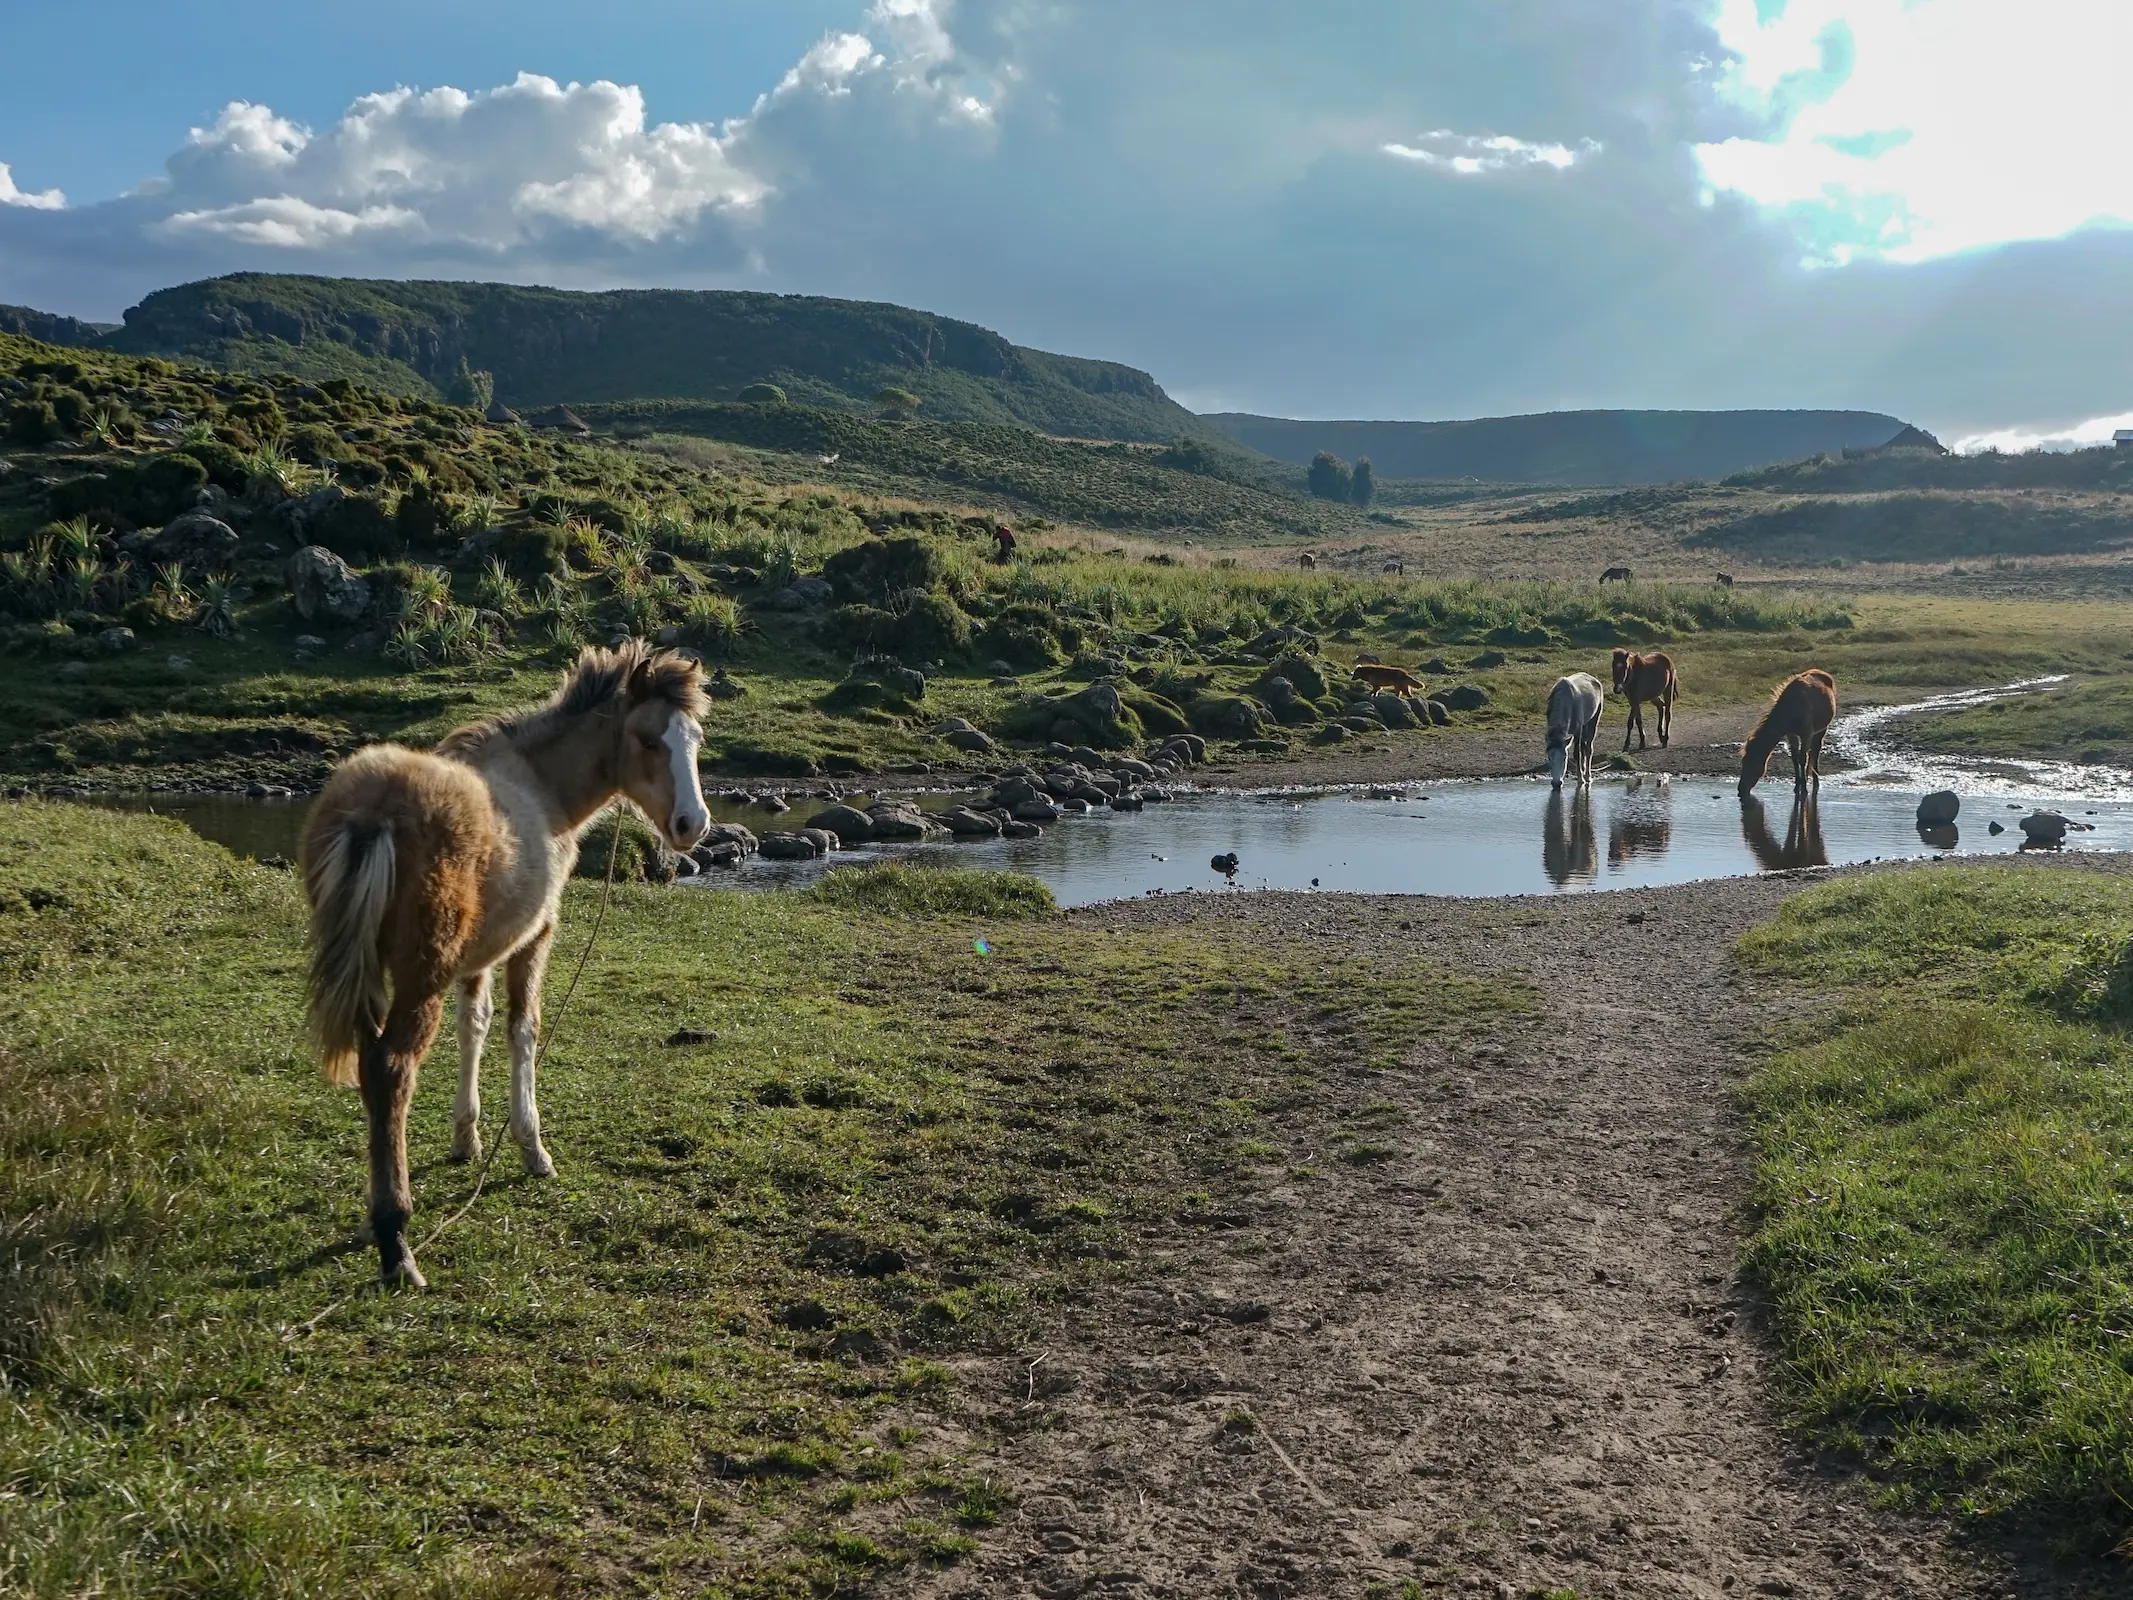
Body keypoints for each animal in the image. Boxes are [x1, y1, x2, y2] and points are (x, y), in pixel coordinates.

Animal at [298, 644, 708, 1288]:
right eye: (647, 739)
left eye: (695, 739)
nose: (694, 825)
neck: (542, 789)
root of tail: (373, 813)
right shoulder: (533, 937)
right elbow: (523, 1030)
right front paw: (531, 1147)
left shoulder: (478, 954)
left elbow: (475, 1025)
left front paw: (466, 1137)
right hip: (419, 978)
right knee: (393, 1071)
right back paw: (396, 1238)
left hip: (369, 977)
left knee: (370, 1067)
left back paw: (373, 1216)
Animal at [1731, 669, 1834, 802]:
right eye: (1743, 761)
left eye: (1753, 763)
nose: (1740, 789)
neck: (1791, 709)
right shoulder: (1791, 734)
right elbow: (1795, 758)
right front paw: (1797, 785)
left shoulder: (1806, 734)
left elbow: (1802, 759)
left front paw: (1804, 788)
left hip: (1822, 729)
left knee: (1815, 752)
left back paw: (1815, 781)